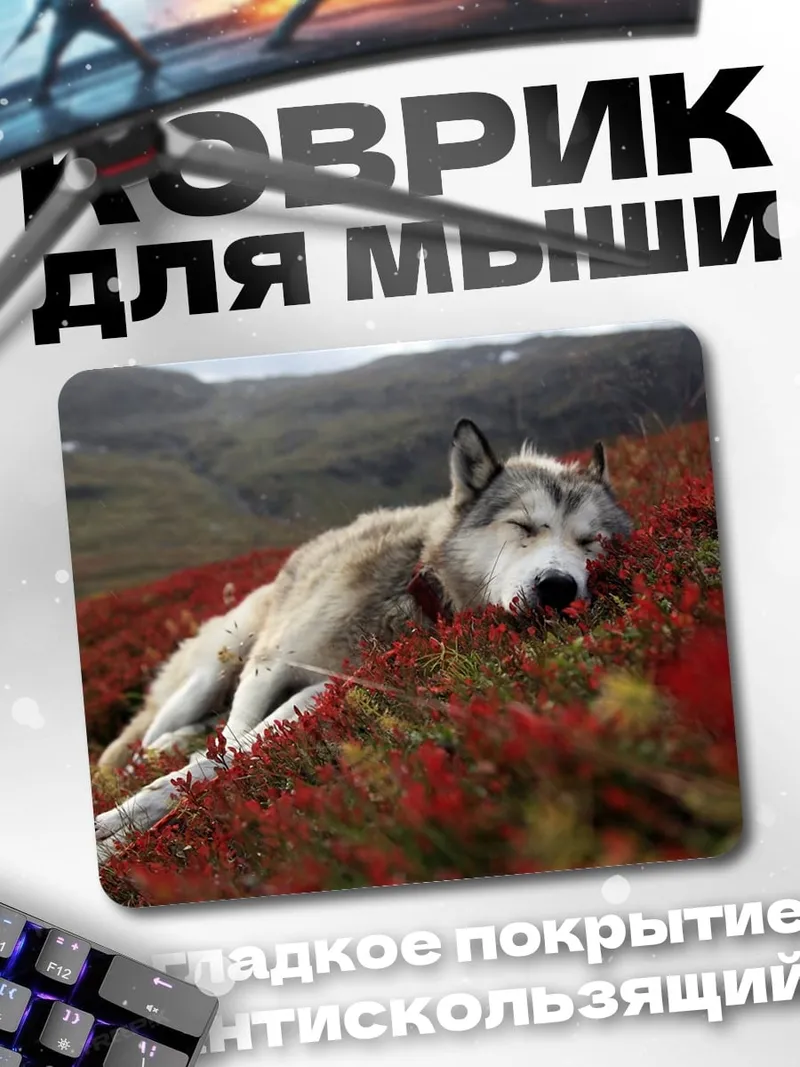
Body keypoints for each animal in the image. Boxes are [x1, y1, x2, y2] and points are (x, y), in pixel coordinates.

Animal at [94, 418, 632, 861]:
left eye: (591, 541)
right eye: (522, 526)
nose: (559, 588)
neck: (414, 591)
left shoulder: (327, 689)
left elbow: (232, 753)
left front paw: (128, 831)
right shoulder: (269, 664)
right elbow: (225, 745)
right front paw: (127, 820)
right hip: (217, 666)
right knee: (143, 740)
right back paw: (153, 752)